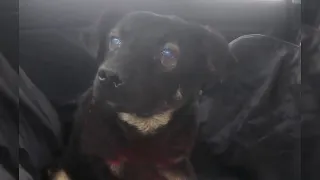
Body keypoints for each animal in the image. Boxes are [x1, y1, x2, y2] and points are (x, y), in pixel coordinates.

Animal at [50, 11, 235, 180]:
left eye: (168, 55)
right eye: (114, 41)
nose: (108, 76)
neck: (142, 127)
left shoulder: (176, 165)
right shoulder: (94, 161)